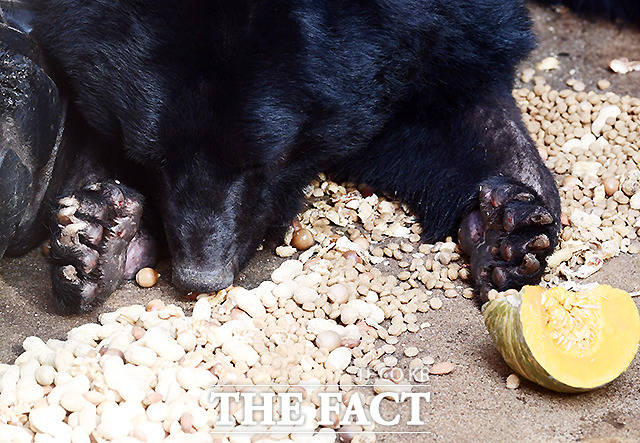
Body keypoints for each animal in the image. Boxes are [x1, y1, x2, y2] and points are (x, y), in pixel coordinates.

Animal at [1, 0, 568, 314]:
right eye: (153, 158)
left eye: (262, 160)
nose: (201, 279)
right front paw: (99, 233)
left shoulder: (435, 30)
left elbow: (457, 95)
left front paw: (507, 230)